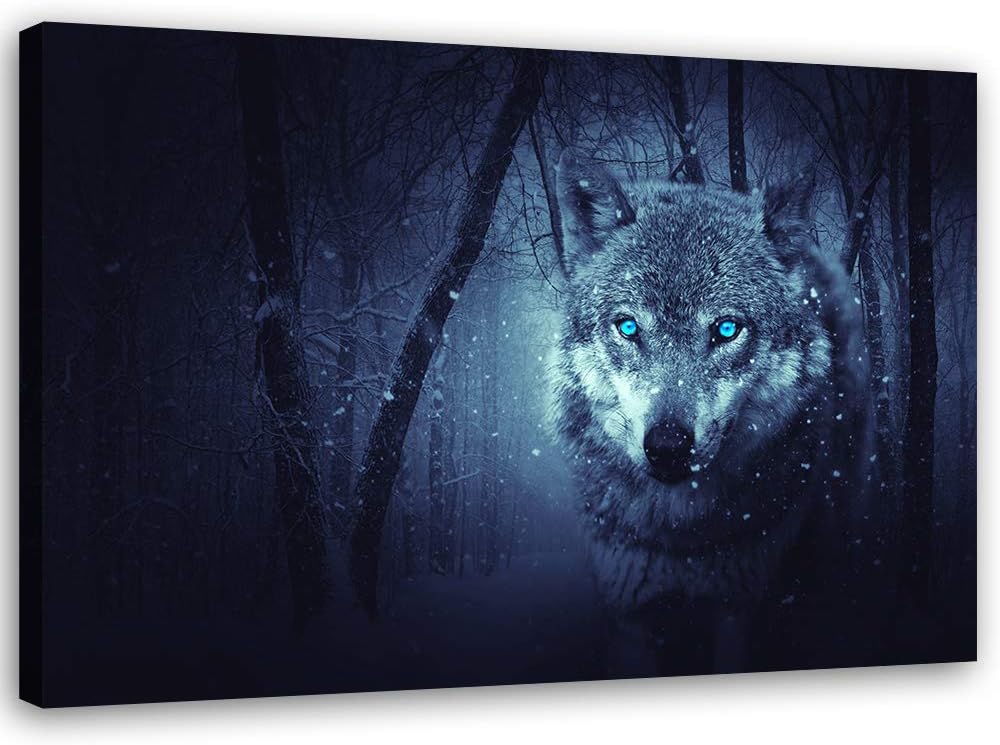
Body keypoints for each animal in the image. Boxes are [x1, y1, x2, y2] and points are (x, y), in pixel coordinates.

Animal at [548, 150, 877, 675]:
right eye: (628, 327)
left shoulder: (740, 611)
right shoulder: (631, 615)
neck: (681, 537)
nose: (667, 446)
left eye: (725, 329)